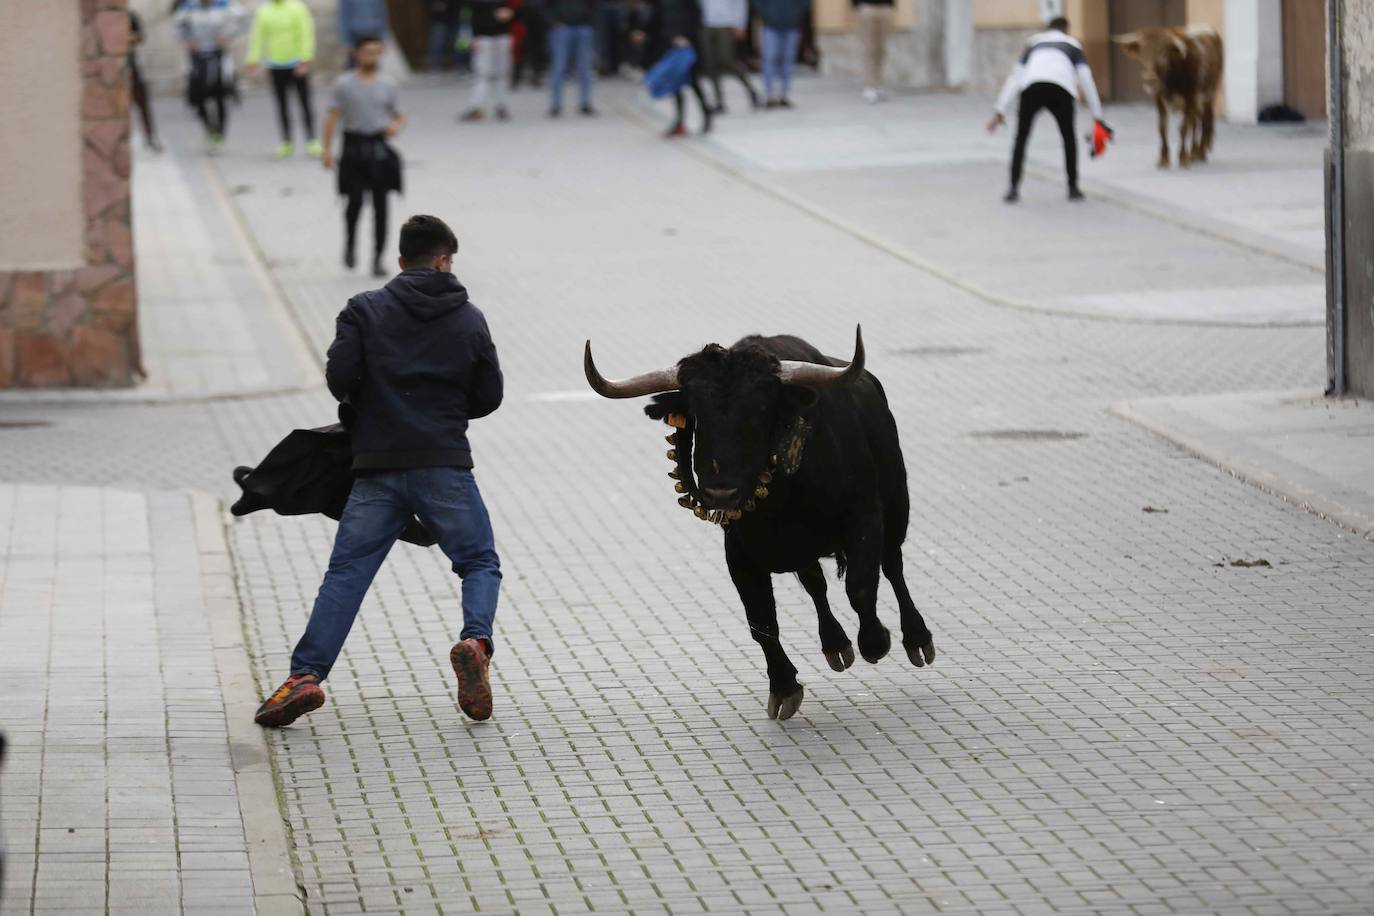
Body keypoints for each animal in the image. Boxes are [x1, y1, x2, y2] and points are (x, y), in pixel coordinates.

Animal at [585, 325, 939, 719]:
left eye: (760, 413)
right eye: (697, 414)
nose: (721, 493)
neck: (783, 498)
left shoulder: (865, 518)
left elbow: (861, 589)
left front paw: (876, 641)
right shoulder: (739, 552)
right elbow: (761, 620)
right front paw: (784, 688)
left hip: (897, 507)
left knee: (892, 566)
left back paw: (917, 640)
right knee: (816, 585)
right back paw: (835, 645)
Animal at [1115, 26, 1225, 169]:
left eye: (1163, 54)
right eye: (1142, 54)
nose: (1150, 81)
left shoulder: (1190, 97)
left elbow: (1183, 127)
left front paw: (1183, 157)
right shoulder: (1158, 99)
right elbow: (1162, 128)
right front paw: (1163, 158)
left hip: (1209, 93)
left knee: (1204, 120)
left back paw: (1199, 153)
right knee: (1195, 122)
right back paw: (1194, 152)